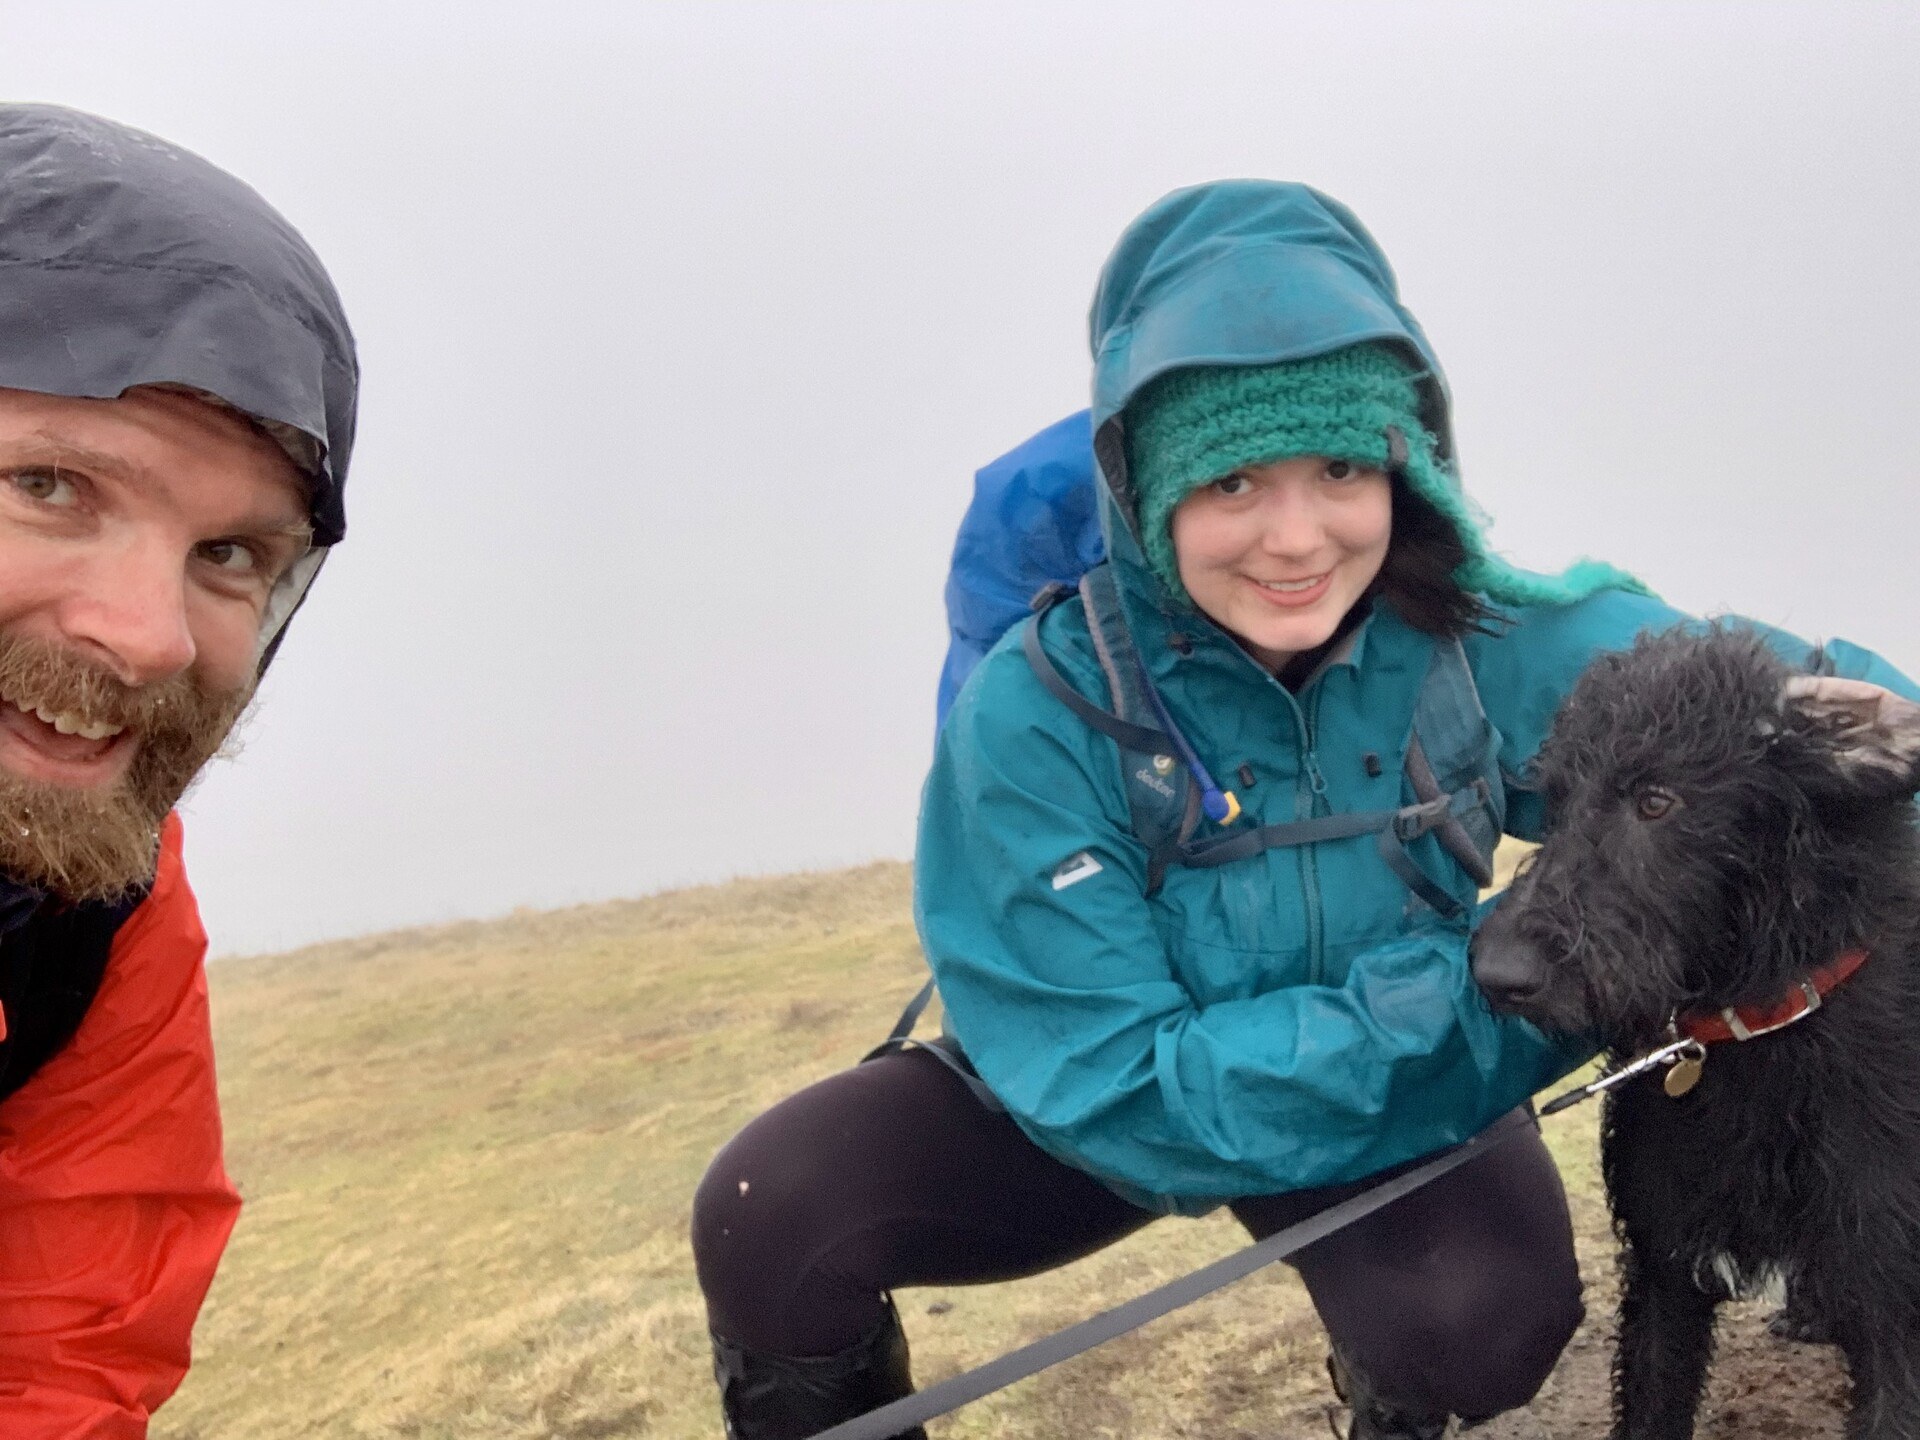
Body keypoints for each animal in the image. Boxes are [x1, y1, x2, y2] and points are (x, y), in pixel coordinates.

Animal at [1474, 629, 1920, 1440]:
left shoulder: (1895, 1310)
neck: (1758, 1029)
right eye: (1556, 799)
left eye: (1656, 799)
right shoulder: (1664, 1273)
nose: (1497, 974)